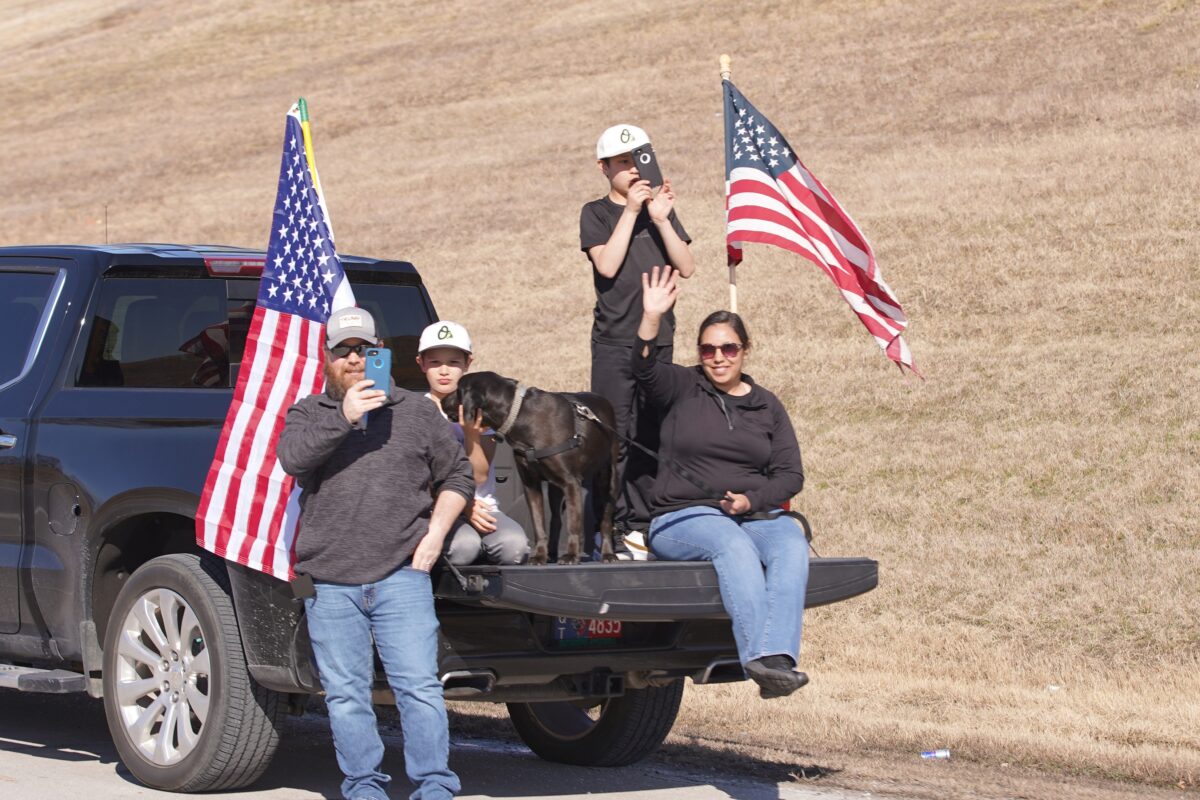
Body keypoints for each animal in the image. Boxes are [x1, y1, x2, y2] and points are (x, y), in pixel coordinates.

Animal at [446, 371, 624, 566]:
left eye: (457, 390)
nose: (442, 400)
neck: (519, 414)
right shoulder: (531, 485)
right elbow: (539, 525)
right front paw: (539, 555)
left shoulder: (572, 483)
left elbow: (573, 523)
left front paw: (571, 555)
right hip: (555, 488)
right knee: (556, 520)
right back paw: (552, 553)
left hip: (608, 480)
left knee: (605, 520)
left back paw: (608, 554)